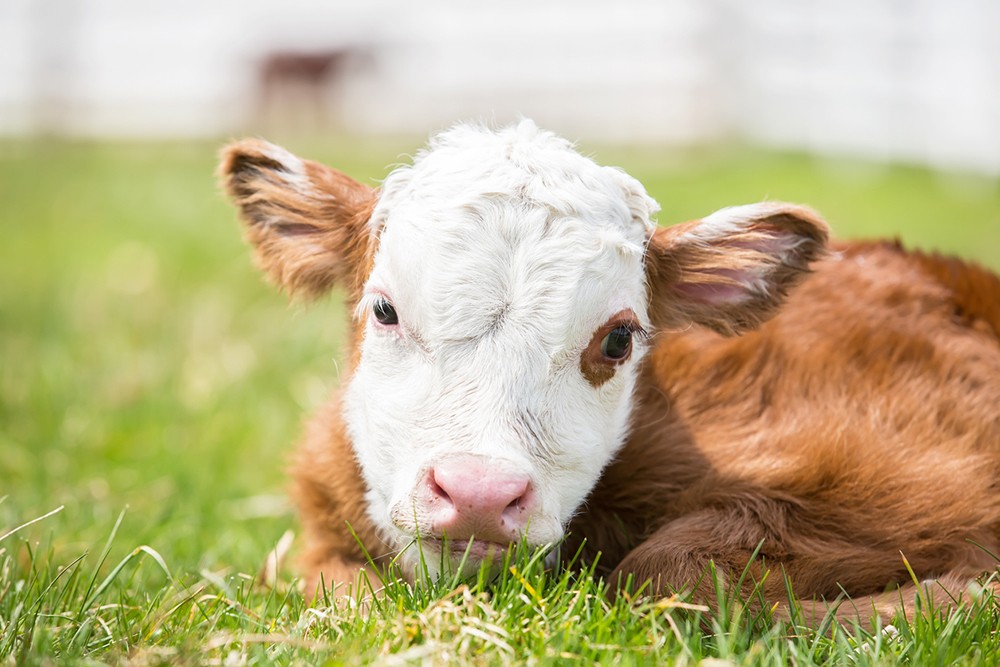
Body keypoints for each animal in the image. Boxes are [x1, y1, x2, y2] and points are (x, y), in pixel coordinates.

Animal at [221, 121, 1000, 628]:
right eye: (384, 309)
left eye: (619, 339)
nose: (478, 494)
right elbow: (335, 590)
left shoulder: (911, 484)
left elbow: (665, 572)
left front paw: (955, 597)